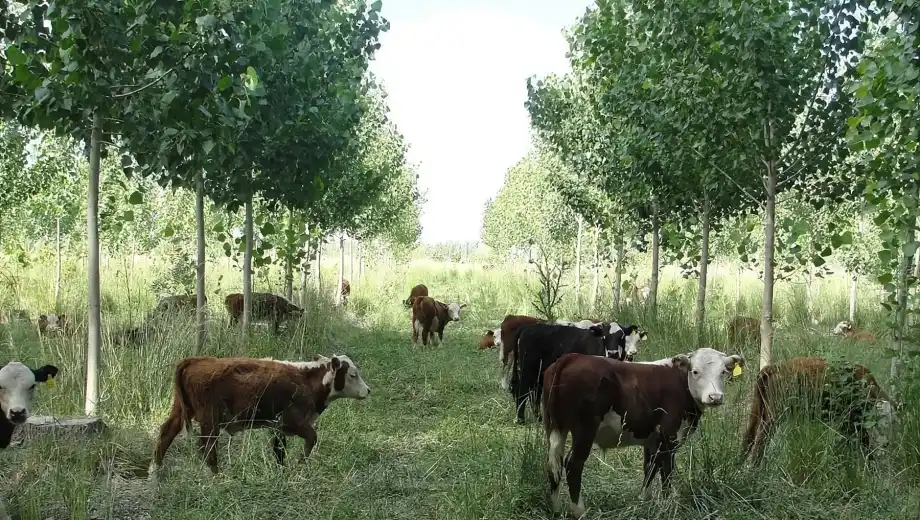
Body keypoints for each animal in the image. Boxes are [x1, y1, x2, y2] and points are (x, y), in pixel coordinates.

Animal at [149, 354, 370, 478]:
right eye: (352, 374)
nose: (368, 390)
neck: (305, 379)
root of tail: (196, 360)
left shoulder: (277, 427)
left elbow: (279, 451)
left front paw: (282, 471)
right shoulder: (293, 420)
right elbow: (311, 438)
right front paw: (300, 465)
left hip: (180, 410)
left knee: (167, 432)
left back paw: (155, 470)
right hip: (210, 420)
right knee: (207, 446)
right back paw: (217, 477)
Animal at [542, 348, 744, 517]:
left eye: (723, 372)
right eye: (695, 371)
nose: (715, 397)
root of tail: (571, 357)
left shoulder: (653, 440)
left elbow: (650, 468)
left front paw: (644, 501)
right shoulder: (669, 437)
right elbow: (666, 473)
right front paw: (667, 505)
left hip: (555, 427)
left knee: (554, 465)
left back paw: (556, 509)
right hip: (584, 430)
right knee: (572, 464)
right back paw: (579, 511)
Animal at [742, 356, 897, 463]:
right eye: (884, 421)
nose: (888, 444)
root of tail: (774, 367)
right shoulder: (853, 421)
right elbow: (865, 443)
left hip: (758, 410)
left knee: (748, 437)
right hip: (774, 416)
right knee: (760, 441)